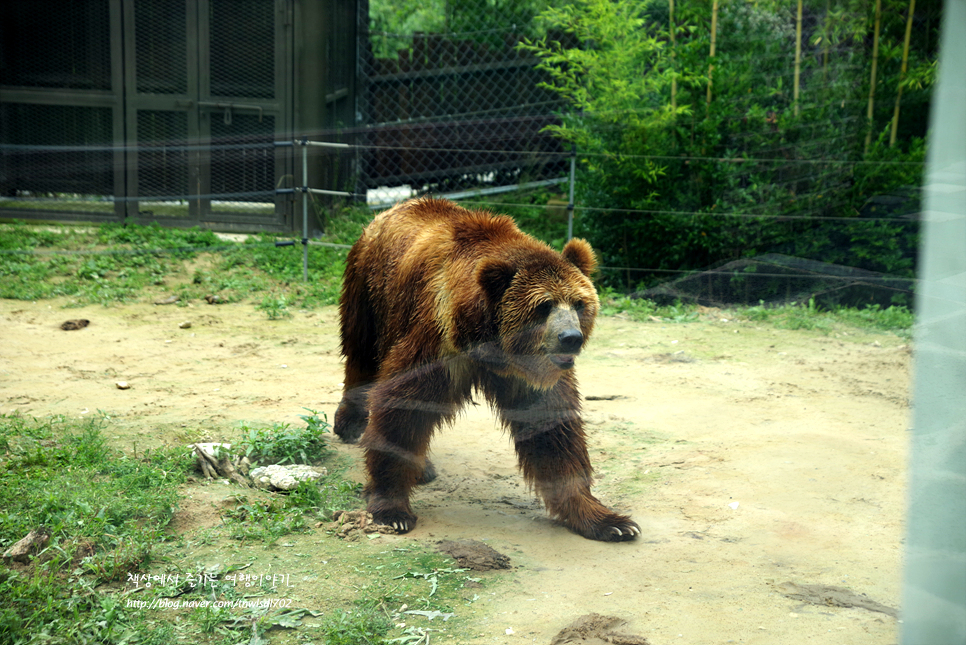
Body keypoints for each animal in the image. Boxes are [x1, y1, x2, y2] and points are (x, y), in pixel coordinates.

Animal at [334, 196, 644, 540]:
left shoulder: (529, 374)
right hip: (371, 291)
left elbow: (553, 430)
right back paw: (351, 423)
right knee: (361, 356)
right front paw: (392, 509)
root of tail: (392, 209)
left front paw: (609, 521)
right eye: (544, 305)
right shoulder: (438, 342)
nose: (570, 338)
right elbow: (403, 406)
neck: (488, 342)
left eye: (579, 303)